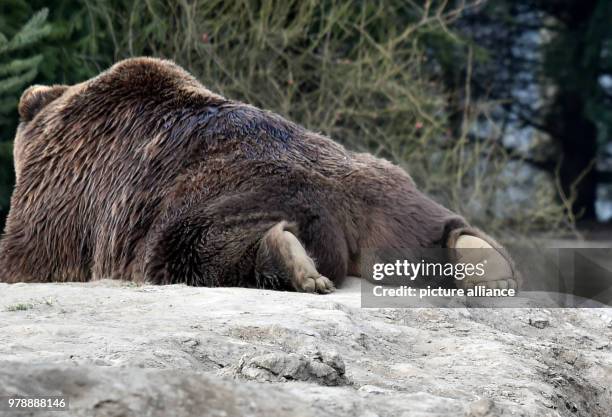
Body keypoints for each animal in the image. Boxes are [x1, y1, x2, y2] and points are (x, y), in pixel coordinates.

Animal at [0, 57, 520, 292]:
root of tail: (345, 204)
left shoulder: (64, 191)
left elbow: (26, 254)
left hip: (218, 199)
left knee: (192, 247)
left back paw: (295, 265)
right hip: (388, 192)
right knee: (433, 227)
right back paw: (486, 260)